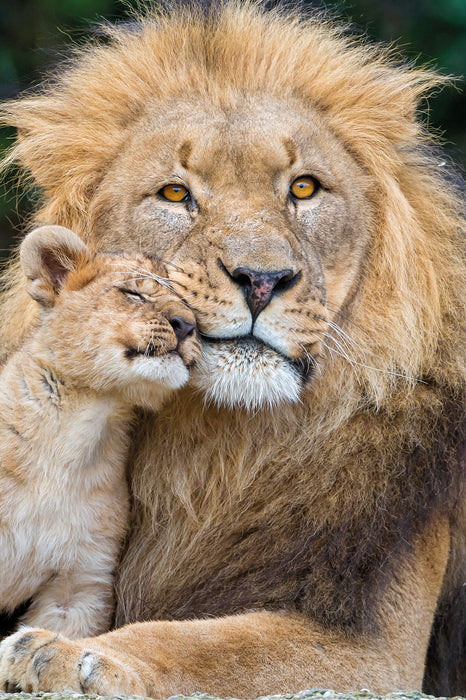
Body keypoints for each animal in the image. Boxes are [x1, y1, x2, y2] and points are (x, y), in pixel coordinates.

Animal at [0, 1, 464, 700]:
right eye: (175, 193)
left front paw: (74, 654)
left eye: (304, 188)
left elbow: (205, 643)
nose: (262, 279)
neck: (220, 447)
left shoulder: (378, 650)